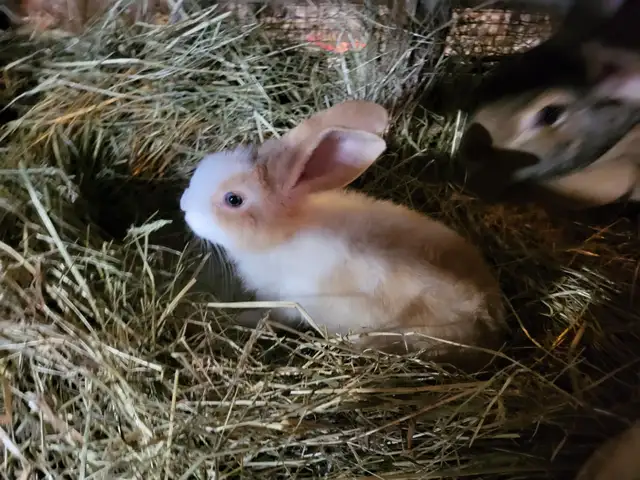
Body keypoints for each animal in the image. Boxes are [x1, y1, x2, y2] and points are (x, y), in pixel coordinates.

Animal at [180, 100, 507, 365]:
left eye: (233, 200)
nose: (183, 205)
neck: (286, 231)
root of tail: (489, 320)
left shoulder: (286, 302)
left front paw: (240, 317)